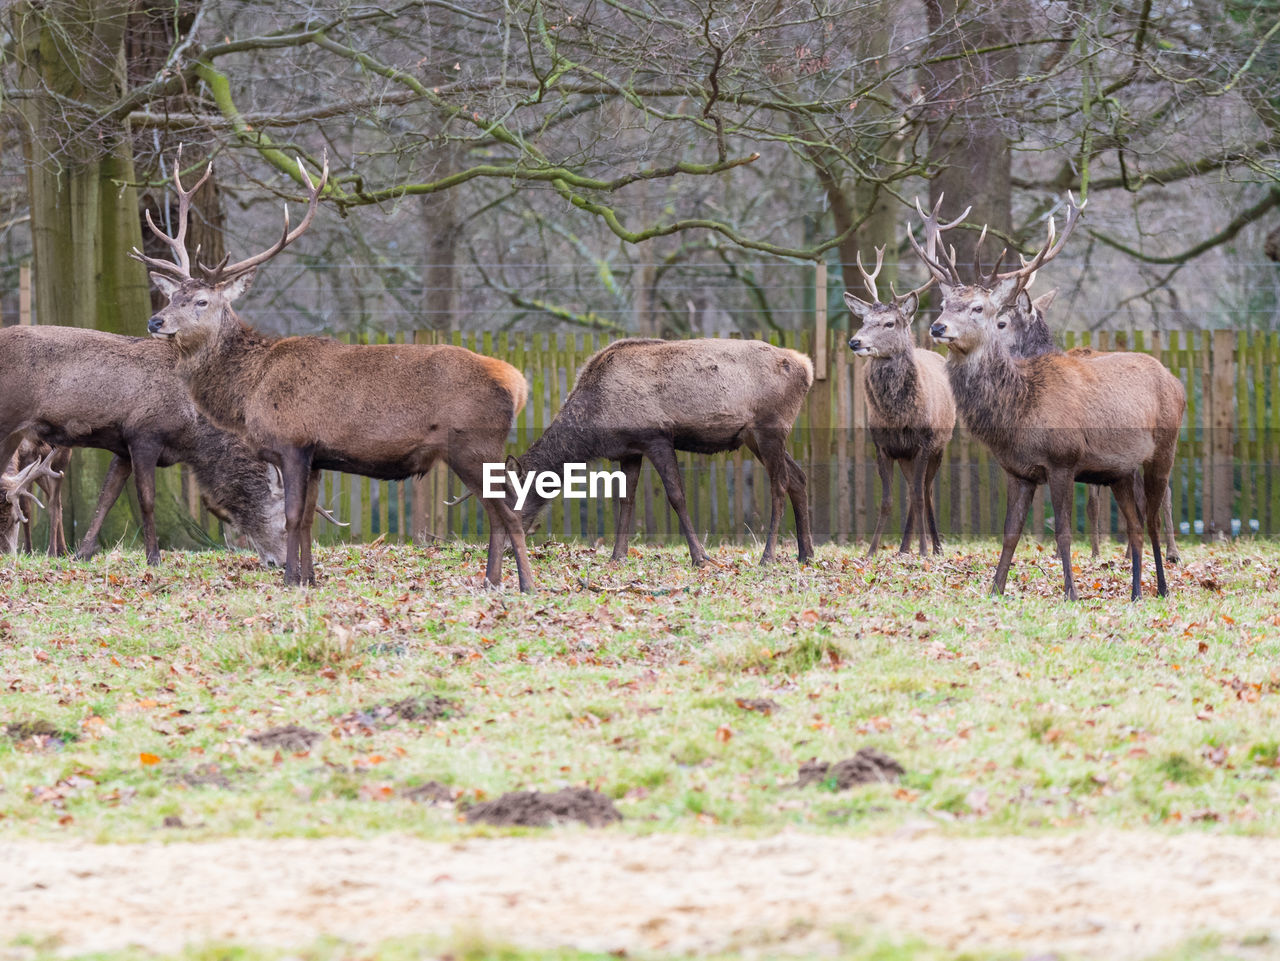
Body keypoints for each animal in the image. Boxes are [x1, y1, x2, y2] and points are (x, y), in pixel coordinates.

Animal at [140, 152, 535, 591]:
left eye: (202, 301)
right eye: (172, 296)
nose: (155, 321)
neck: (249, 390)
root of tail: (517, 383)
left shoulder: (293, 441)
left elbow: (293, 517)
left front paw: (290, 579)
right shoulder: (317, 457)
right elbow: (308, 520)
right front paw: (310, 579)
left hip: (475, 443)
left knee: (510, 512)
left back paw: (526, 584)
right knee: (495, 513)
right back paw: (491, 582)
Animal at [506, 337, 814, 568]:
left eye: (510, 495)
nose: (509, 546)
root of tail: (807, 368)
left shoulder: (657, 437)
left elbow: (677, 496)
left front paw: (700, 557)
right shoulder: (630, 450)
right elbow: (626, 499)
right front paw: (617, 556)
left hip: (770, 428)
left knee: (780, 484)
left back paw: (768, 556)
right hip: (753, 437)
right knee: (798, 477)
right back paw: (806, 554)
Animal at [839, 200, 962, 555]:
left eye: (889, 323)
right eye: (863, 320)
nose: (855, 342)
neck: (897, 417)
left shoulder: (924, 442)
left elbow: (919, 497)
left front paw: (923, 551)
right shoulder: (882, 444)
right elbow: (887, 501)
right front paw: (872, 551)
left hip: (941, 444)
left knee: (926, 492)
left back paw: (933, 547)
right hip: (907, 456)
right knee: (912, 491)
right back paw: (906, 547)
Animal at [916, 195, 1182, 601]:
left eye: (980, 308)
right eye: (945, 304)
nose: (937, 326)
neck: (1022, 407)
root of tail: (1176, 381)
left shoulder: (1063, 460)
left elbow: (1064, 533)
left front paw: (1071, 593)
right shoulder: (1017, 471)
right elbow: (1010, 533)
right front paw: (995, 589)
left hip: (1164, 450)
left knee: (1153, 517)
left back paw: (1163, 588)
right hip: (1120, 470)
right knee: (1135, 525)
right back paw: (1136, 592)